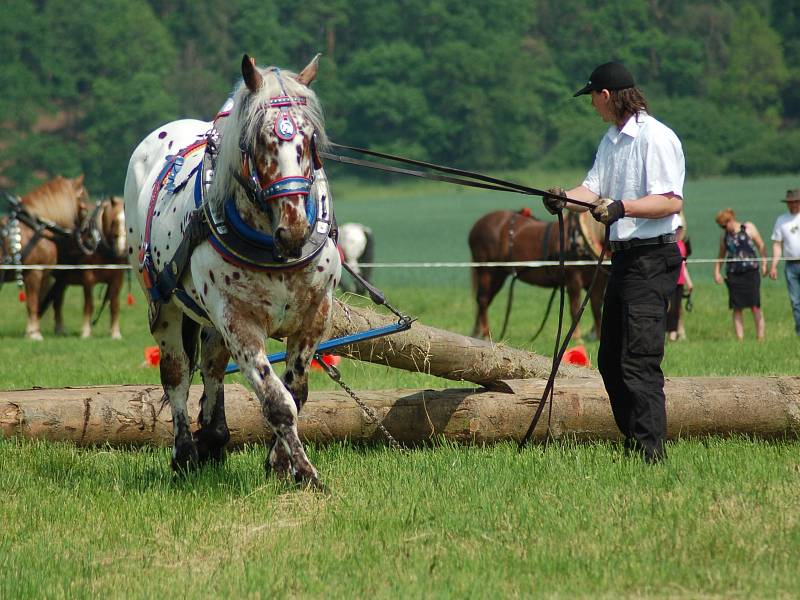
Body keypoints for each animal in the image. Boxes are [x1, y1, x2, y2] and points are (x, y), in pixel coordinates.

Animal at [42, 197, 128, 338]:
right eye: (114, 221)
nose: (122, 250)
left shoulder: (117, 278)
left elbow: (114, 304)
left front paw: (115, 333)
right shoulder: (88, 277)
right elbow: (89, 304)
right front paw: (86, 332)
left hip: (62, 281)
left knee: (57, 301)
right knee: (56, 301)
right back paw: (59, 329)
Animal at [123, 55, 340, 488]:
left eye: (309, 139)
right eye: (258, 141)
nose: (293, 230)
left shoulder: (314, 316)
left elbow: (297, 393)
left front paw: (279, 463)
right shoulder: (239, 320)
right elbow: (277, 401)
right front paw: (306, 473)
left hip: (211, 321)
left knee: (212, 367)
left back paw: (213, 438)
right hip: (166, 308)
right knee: (177, 377)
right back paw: (186, 454)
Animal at [468, 210, 608, 342]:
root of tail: (477, 225)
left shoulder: (598, 282)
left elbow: (596, 308)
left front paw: (598, 336)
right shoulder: (573, 279)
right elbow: (575, 307)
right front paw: (577, 336)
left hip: (498, 275)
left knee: (484, 301)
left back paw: (479, 333)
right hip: (488, 271)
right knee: (482, 300)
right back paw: (486, 334)